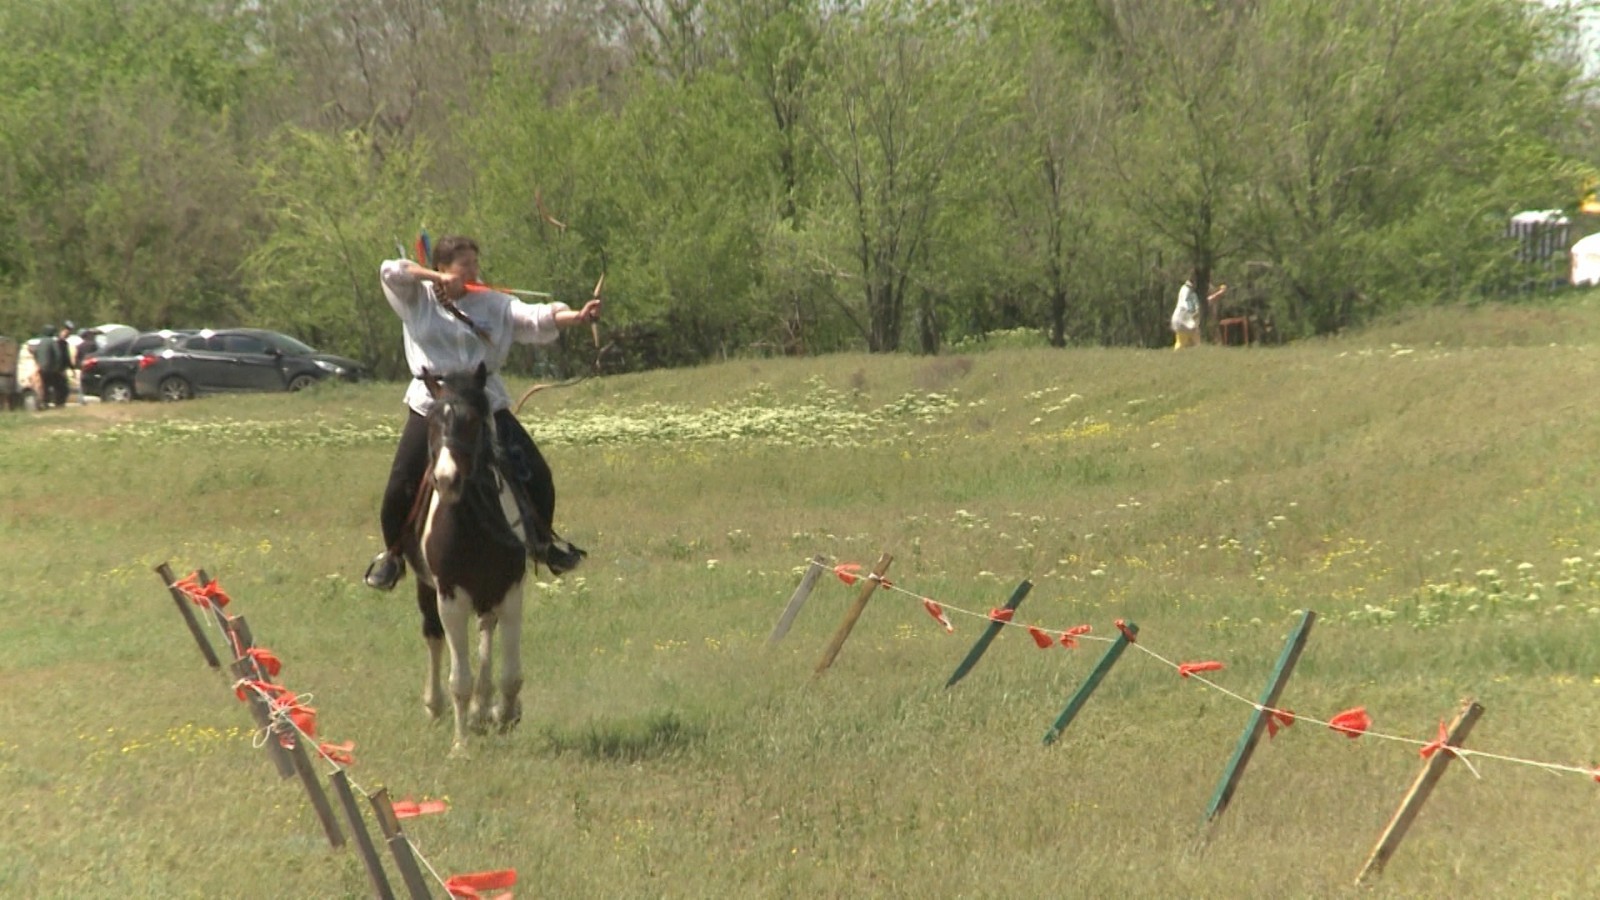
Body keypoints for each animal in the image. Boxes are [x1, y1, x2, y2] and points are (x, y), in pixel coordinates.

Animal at [403, 360, 528, 752]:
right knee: (432, 636)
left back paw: (484, 708)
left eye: (473, 422)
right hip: (426, 589)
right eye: (431, 423)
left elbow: (511, 673)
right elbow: (460, 679)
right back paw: (437, 706)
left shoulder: (511, 590)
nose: (446, 480)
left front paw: (504, 715)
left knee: (487, 628)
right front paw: (461, 746)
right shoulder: (451, 596)